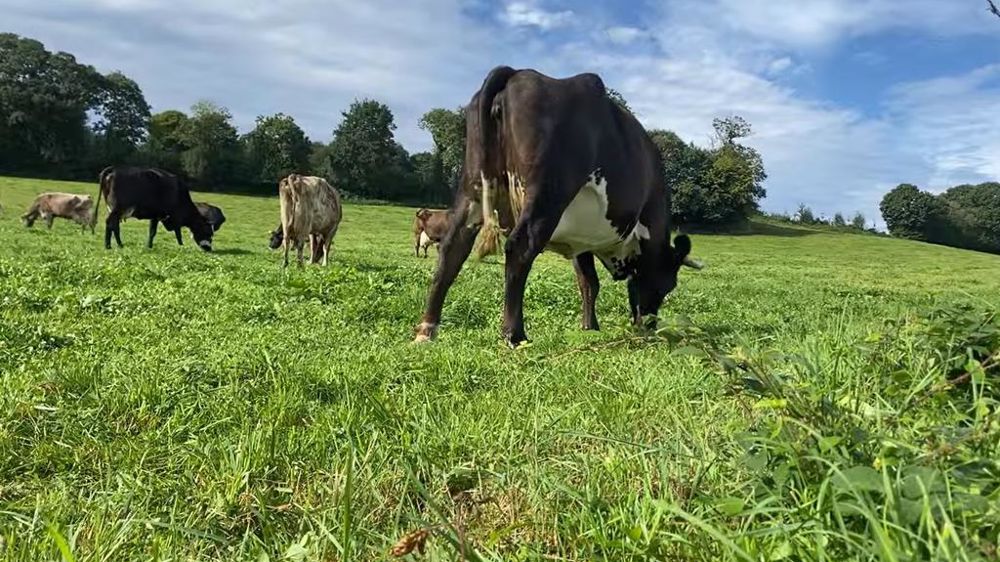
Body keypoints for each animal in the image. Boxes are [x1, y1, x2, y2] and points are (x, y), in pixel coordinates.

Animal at [414, 66, 703, 348]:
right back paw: (515, 335)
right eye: (668, 285)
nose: (650, 328)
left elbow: (589, 282)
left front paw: (589, 328)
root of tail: (517, 72)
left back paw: (427, 330)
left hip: (473, 187)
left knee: (453, 248)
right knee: (519, 248)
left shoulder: (581, 239)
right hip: (547, 195)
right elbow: (596, 281)